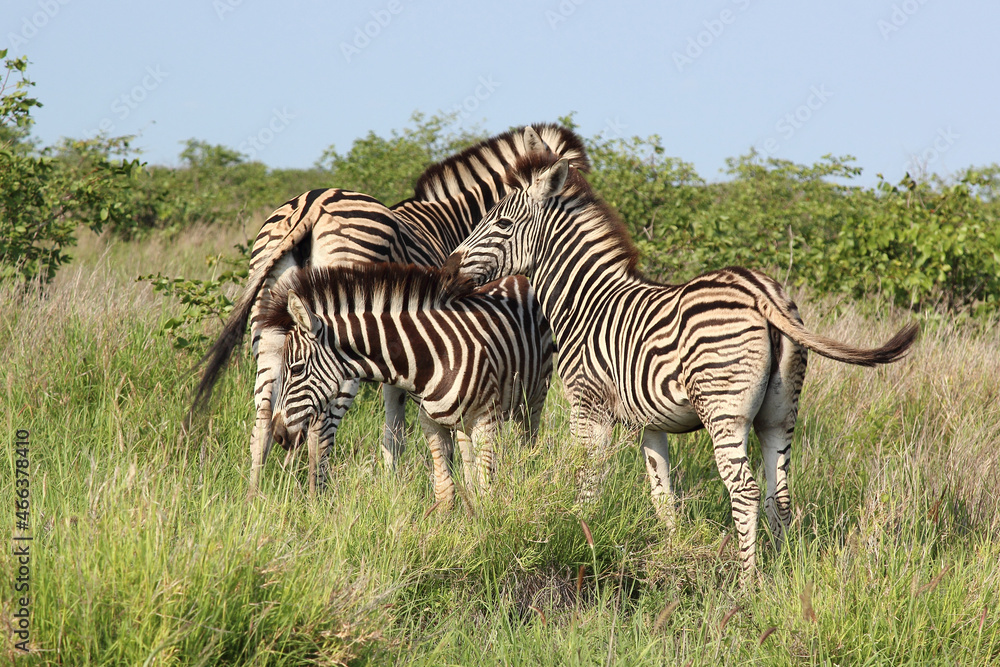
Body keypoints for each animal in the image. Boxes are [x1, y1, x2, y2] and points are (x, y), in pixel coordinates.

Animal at [261, 263, 554, 503]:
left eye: (296, 369)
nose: (278, 434)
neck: (432, 357)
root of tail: (519, 276)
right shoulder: (431, 423)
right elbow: (445, 490)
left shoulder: (486, 419)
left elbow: (486, 489)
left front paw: (488, 528)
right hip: (464, 421)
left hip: (533, 396)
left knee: (528, 441)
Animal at [443, 151, 919, 576]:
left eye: (502, 225)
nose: (446, 271)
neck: (586, 302)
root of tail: (761, 290)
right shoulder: (650, 422)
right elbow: (662, 495)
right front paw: (671, 550)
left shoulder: (588, 406)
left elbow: (587, 479)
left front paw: (578, 535)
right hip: (780, 412)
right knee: (779, 497)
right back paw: (782, 573)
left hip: (724, 408)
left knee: (745, 492)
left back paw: (747, 585)